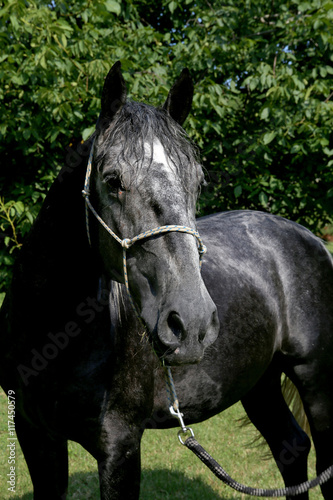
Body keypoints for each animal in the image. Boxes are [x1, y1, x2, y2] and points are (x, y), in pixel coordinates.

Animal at [0, 63, 332, 500]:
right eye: (113, 179)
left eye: (198, 183)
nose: (192, 324)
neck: (51, 336)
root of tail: (311, 238)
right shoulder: (36, 436)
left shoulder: (120, 444)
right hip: (259, 382)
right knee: (290, 447)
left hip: (316, 381)